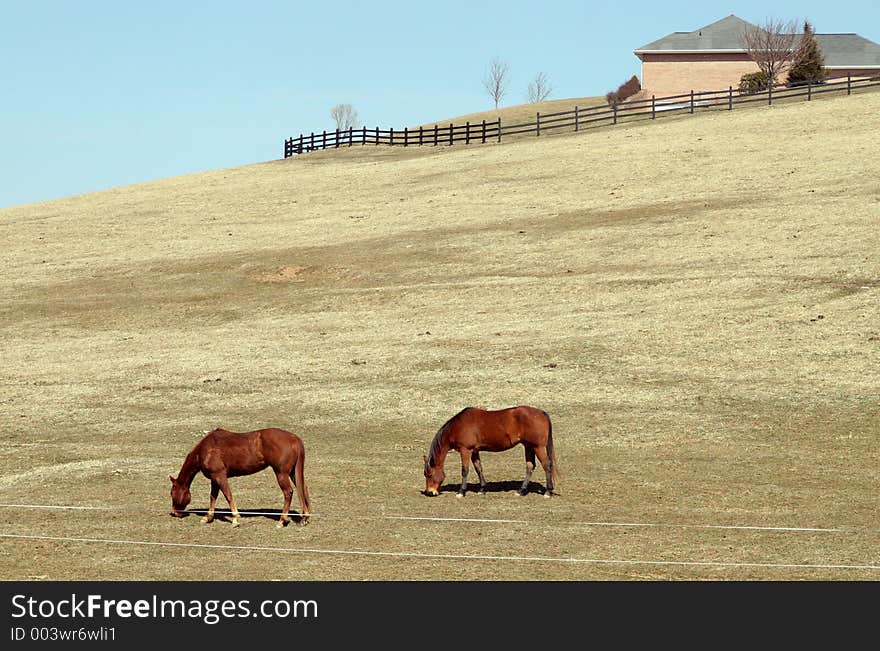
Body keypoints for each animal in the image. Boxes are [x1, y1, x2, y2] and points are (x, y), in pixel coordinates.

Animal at [170, 428, 312, 528]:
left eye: (172, 493)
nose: (174, 513)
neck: (204, 450)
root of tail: (294, 439)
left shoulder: (220, 476)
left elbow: (228, 496)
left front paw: (235, 519)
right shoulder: (214, 479)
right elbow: (213, 497)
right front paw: (208, 517)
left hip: (281, 473)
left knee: (288, 492)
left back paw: (282, 520)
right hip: (293, 473)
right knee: (303, 489)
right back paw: (305, 518)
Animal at [422, 408, 556, 500]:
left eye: (429, 474)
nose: (430, 492)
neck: (458, 426)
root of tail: (541, 413)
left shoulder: (466, 450)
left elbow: (465, 470)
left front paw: (461, 491)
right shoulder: (474, 451)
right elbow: (478, 469)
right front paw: (482, 489)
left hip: (538, 447)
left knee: (547, 466)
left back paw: (548, 492)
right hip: (528, 446)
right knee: (530, 466)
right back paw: (521, 490)